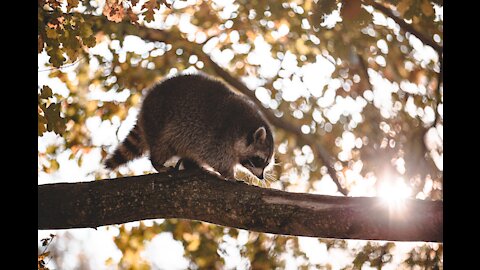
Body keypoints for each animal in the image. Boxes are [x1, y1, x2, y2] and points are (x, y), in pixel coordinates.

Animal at [106, 73, 276, 180]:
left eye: (267, 163)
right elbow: (215, 157)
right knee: (162, 147)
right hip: (160, 122)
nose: (261, 177)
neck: (243, 126)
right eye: (259, 160)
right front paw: (229, 174)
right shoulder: (216, 136)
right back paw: (158, 163)